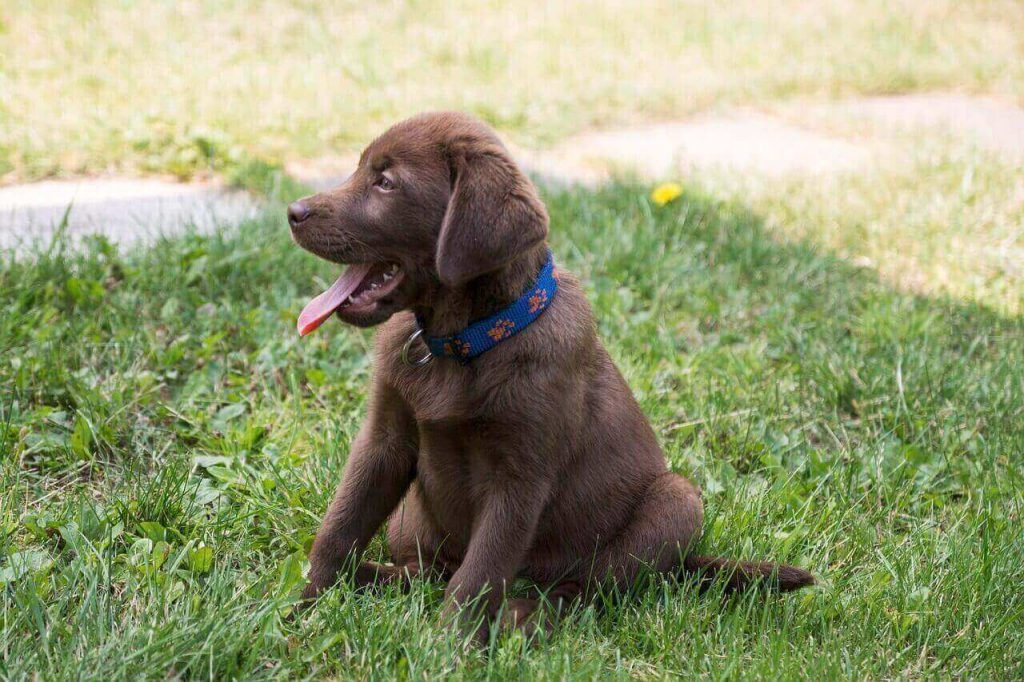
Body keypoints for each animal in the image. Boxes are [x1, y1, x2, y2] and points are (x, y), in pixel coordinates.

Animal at [284, 110, 811, 638]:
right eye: (360, 169)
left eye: (386, 182)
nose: (293, 211)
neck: (462, 345)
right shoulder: (385, 439)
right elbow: (341, 525)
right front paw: (303, 607)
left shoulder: (519, 476)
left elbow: (479, 574)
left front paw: (447, 644)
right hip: (409, 521)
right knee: (430, 571)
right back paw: (372, 578)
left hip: (675, 503)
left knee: (585, 592)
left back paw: (524, 614)